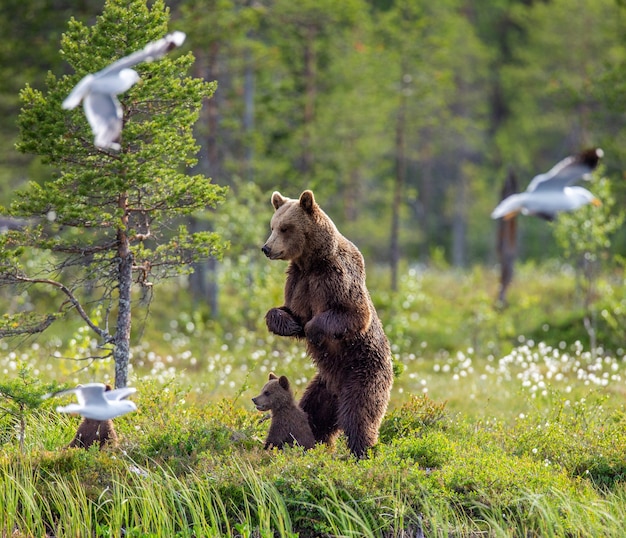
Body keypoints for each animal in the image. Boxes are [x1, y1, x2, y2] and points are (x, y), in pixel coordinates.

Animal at [260, 189, 392, 456]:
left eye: (285, 228)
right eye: (273, 225)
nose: (267, 248)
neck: (311, 261)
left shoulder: (335, 277)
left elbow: (353, 313)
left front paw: (312, 329)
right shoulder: (299, 281)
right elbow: (289, 311)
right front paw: (289, 324)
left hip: (362, 374)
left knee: (359, 414)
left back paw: (362, 450)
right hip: (323, 388)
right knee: (314, 412)